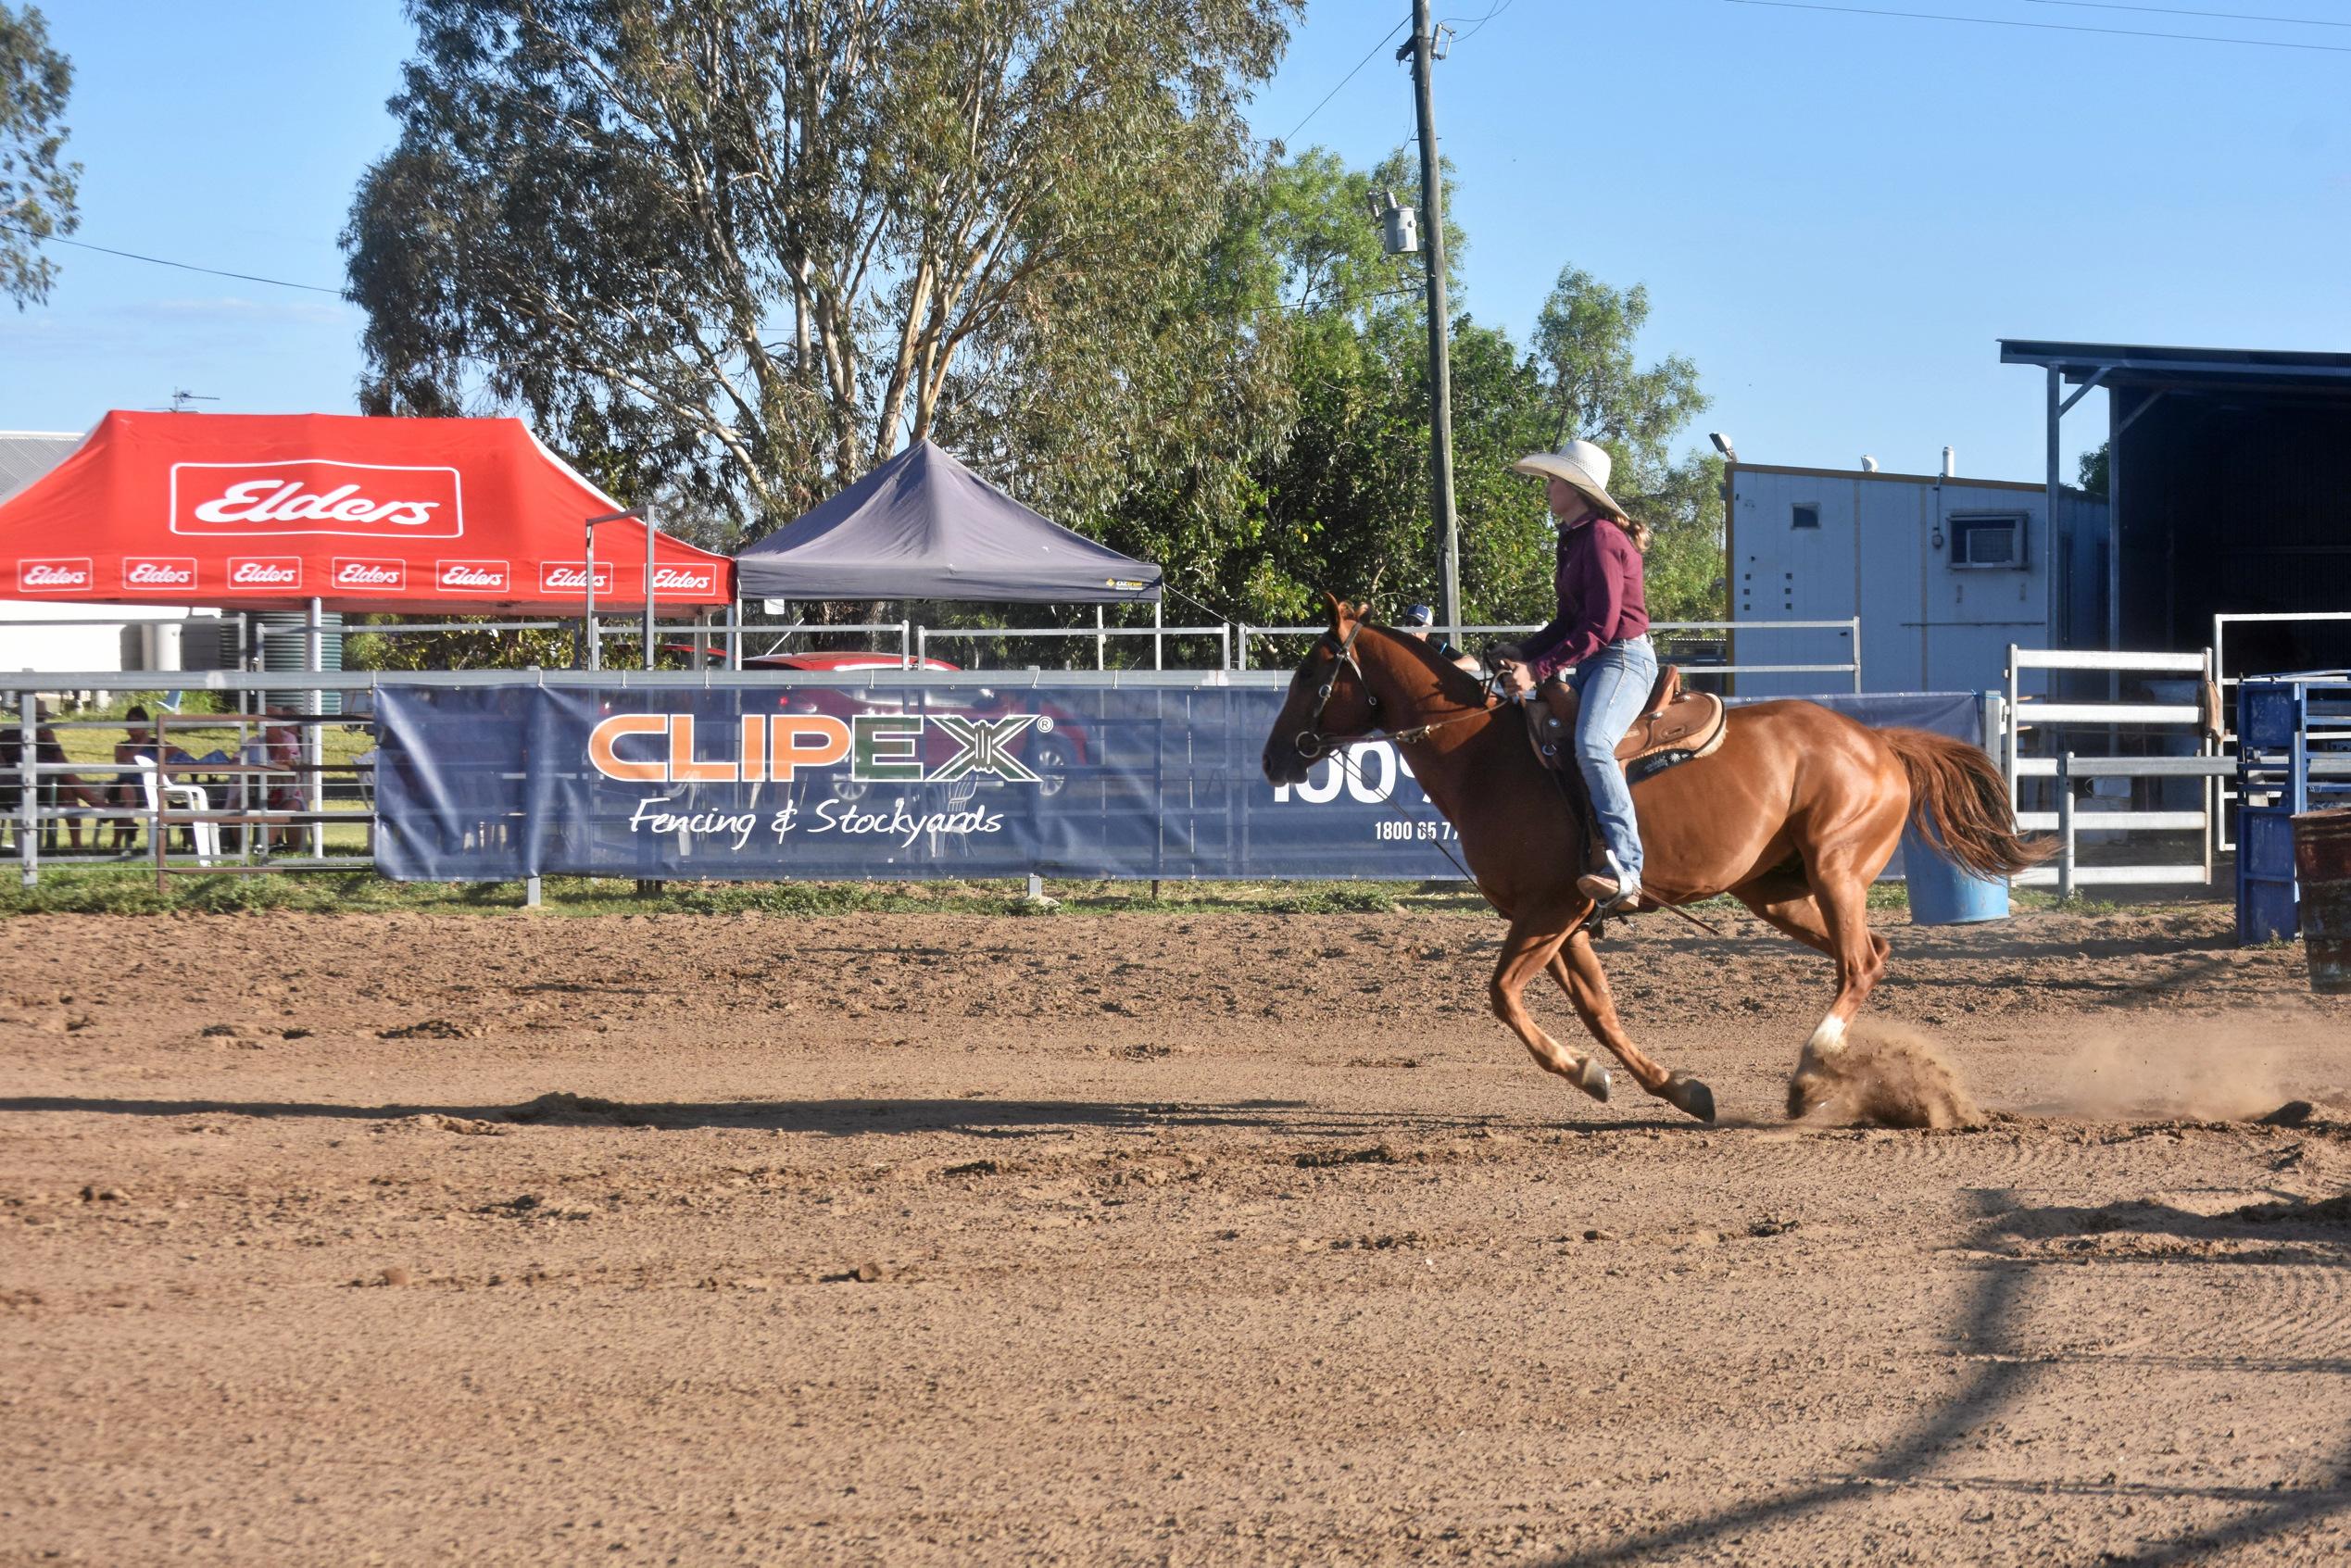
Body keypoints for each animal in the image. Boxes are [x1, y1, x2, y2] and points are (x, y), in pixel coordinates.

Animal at [1260, 595, 2050, 1123]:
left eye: (1310, 672)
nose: (1271, 760)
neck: (1488, 753)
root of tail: (1879, 739)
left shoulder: (1553, 906)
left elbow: (1504, 994)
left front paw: (1590, 1073)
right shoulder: (1562, 917)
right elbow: (1599, 1011)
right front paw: (1666, 1086)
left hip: (1834, 871)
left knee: (1857, 962)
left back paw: (1810, 1069)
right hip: (1778, 890)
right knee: (1873, 953)